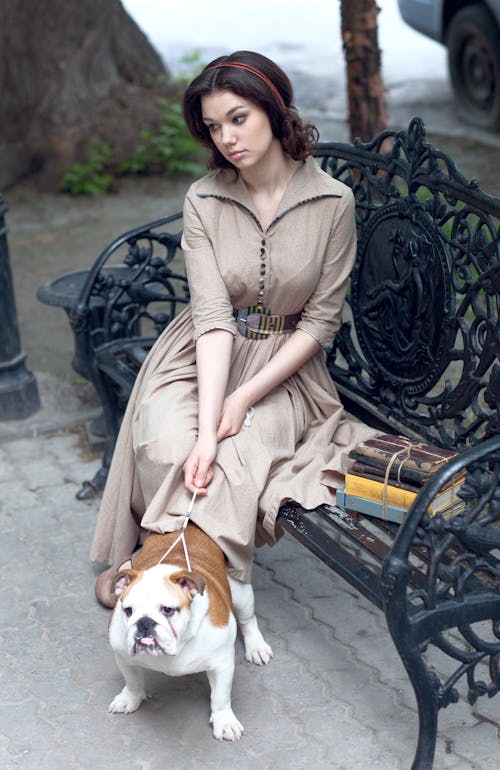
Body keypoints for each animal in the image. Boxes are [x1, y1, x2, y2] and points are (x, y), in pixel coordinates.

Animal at [108, 520, 274, 736]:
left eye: (168, 610)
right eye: (128, 610)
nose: (144, 622)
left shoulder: (221, 665)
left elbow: (220, 697)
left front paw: (224, 721)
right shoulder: (123, 657)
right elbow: (132, 681)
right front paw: (130, 698)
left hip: (240, 592)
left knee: (248, 620)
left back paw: (256, 647)